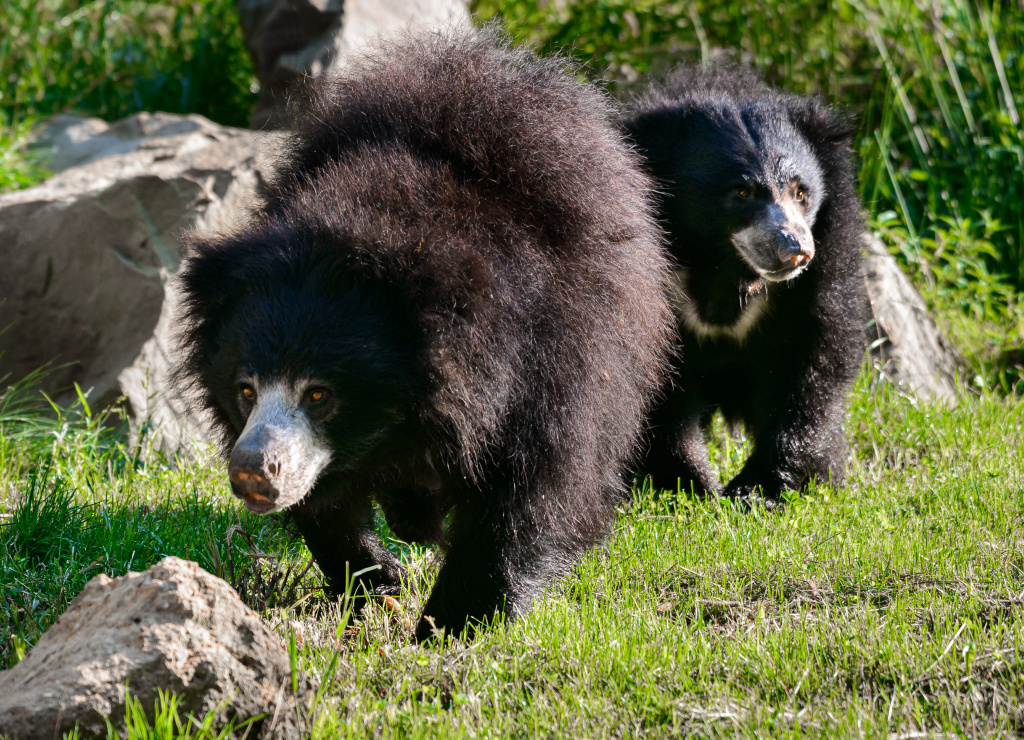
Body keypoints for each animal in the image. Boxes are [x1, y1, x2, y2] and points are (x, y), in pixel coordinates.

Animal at [176, 30, 671, 642]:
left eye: (319, 394)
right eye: (245, 390)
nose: (251, 470)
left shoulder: (555, 353)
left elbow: (535, 490)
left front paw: (450, 627)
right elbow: (327, 506)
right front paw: (377, 585)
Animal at [618, 65, 868, 503]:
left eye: (801, 192)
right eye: (742, 191)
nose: (796, 249)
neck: (726, 269)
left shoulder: (828, 261)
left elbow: (814, 359)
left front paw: (759, 489)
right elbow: (656, 382)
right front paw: (690, 483)